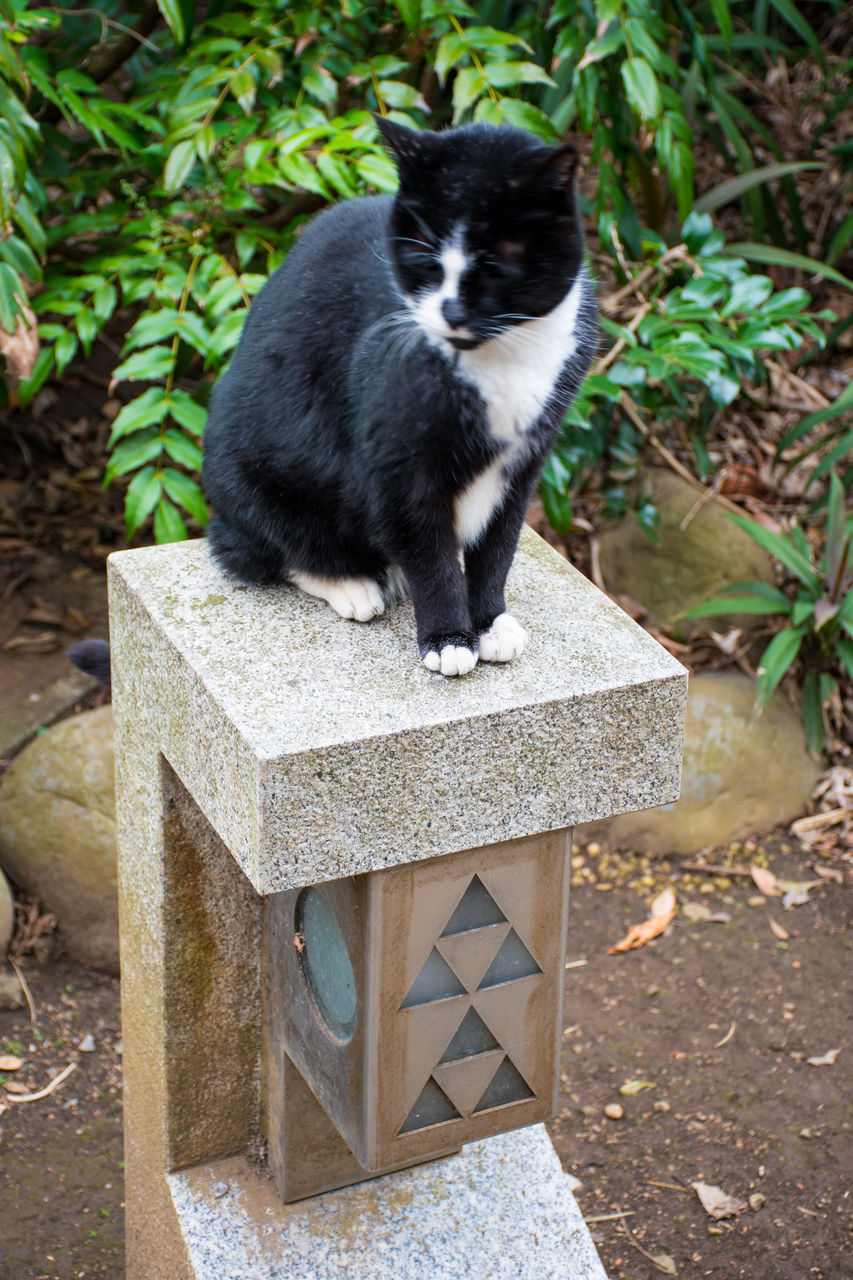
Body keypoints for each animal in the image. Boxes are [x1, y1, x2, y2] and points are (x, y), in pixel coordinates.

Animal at [202, 119, 594, 675]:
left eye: (495, 265)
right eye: (423, 256)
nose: (450, 311)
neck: (499, 360)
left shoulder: (523, 462)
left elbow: (497, 546)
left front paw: (488, 622)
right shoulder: (396, 465)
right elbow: (428, 551)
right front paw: (449, 638)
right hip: (255, 483)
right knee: (260, 549)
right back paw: (352, 582)